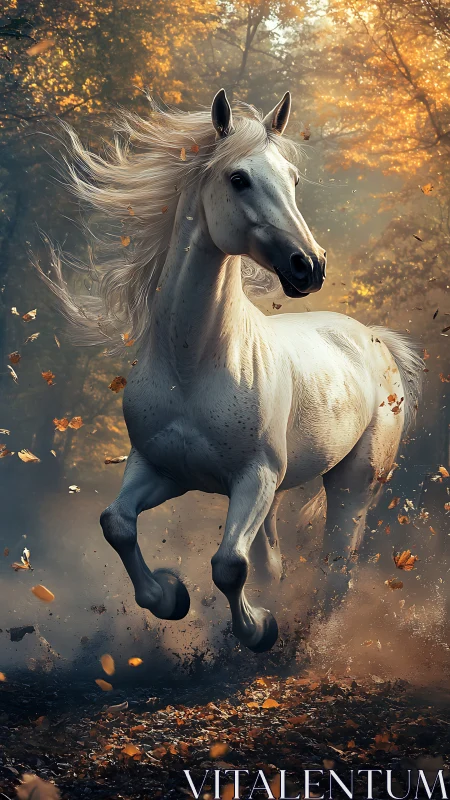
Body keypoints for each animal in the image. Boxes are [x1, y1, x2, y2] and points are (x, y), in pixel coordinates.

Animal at [39, 89, 423, 653]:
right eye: (238, 178)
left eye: (293, 179)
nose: (310, 266)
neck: (192, 366)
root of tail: (375, 338)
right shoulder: (162, 469)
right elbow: (117, 524)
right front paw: (170, 596)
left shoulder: (252, 478)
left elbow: (228, 565)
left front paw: (260, 629)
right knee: (274, 561)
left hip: (352, 481)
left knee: (336, 566)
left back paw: (310, 642)